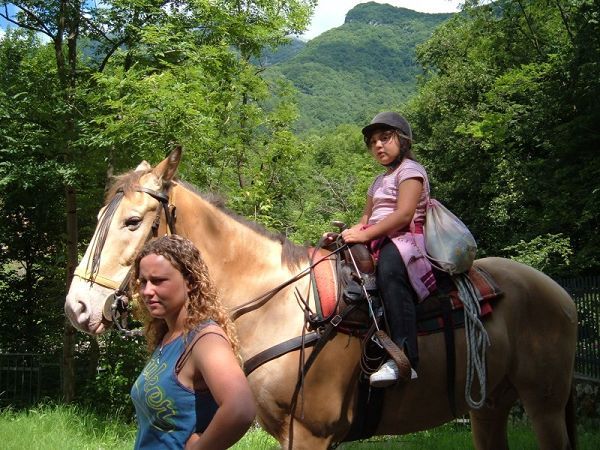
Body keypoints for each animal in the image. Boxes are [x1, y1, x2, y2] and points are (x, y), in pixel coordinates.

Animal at [64, 149, 576, 450]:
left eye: (133, 221)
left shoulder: (312, 434)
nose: (78, 307)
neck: (278, 306)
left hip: (545, 406)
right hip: (488, 408)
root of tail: (560, 293)